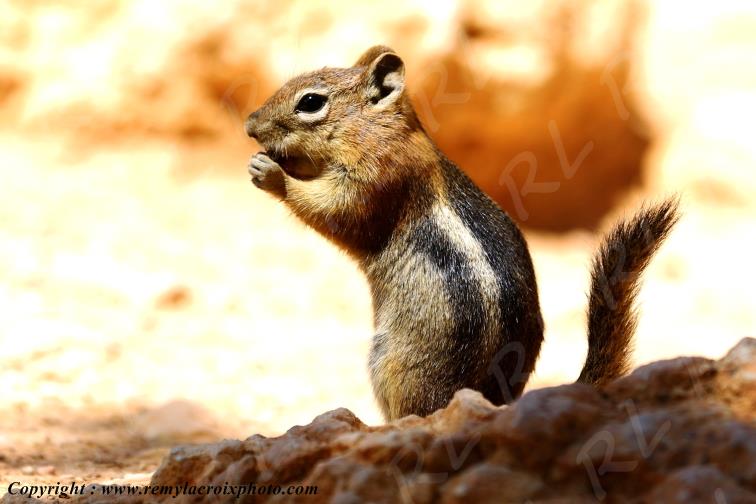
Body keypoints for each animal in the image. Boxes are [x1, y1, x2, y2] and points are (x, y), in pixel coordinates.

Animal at [244, 45, 679, 421]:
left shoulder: (376, 179)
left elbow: (333, 210)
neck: (386, 129)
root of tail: (495, 400)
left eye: (310, 102)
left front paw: (272, 174)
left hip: (393, 363)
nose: (250, 125)